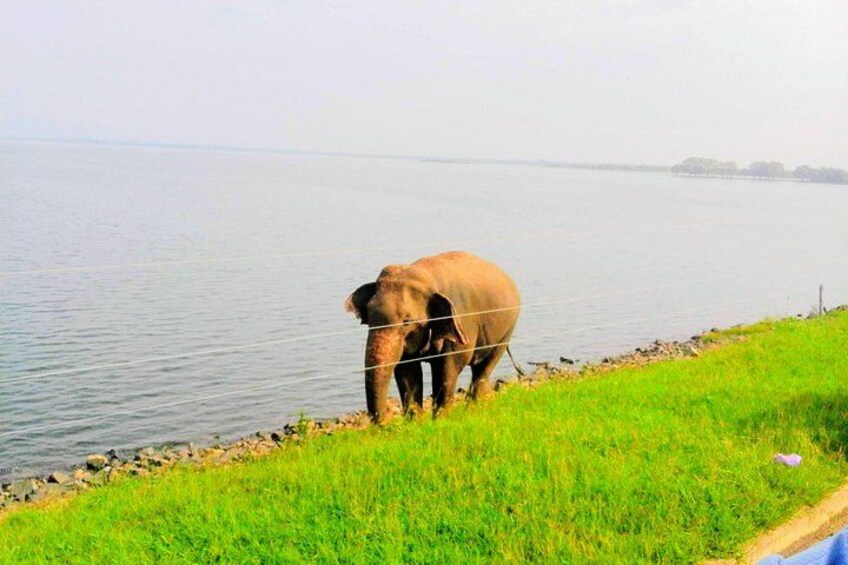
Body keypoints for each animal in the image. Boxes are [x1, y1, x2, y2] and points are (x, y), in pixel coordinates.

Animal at [345, 251, 522, 423]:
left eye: (407, 321)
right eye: (369, 317)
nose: (386, 422)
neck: (428, 276)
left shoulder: (462, 319)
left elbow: (448, 368)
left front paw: (441, 421)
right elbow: (407, 371)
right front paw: (415, 424)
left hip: (508, 328)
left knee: (484, 367)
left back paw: (473, 409)